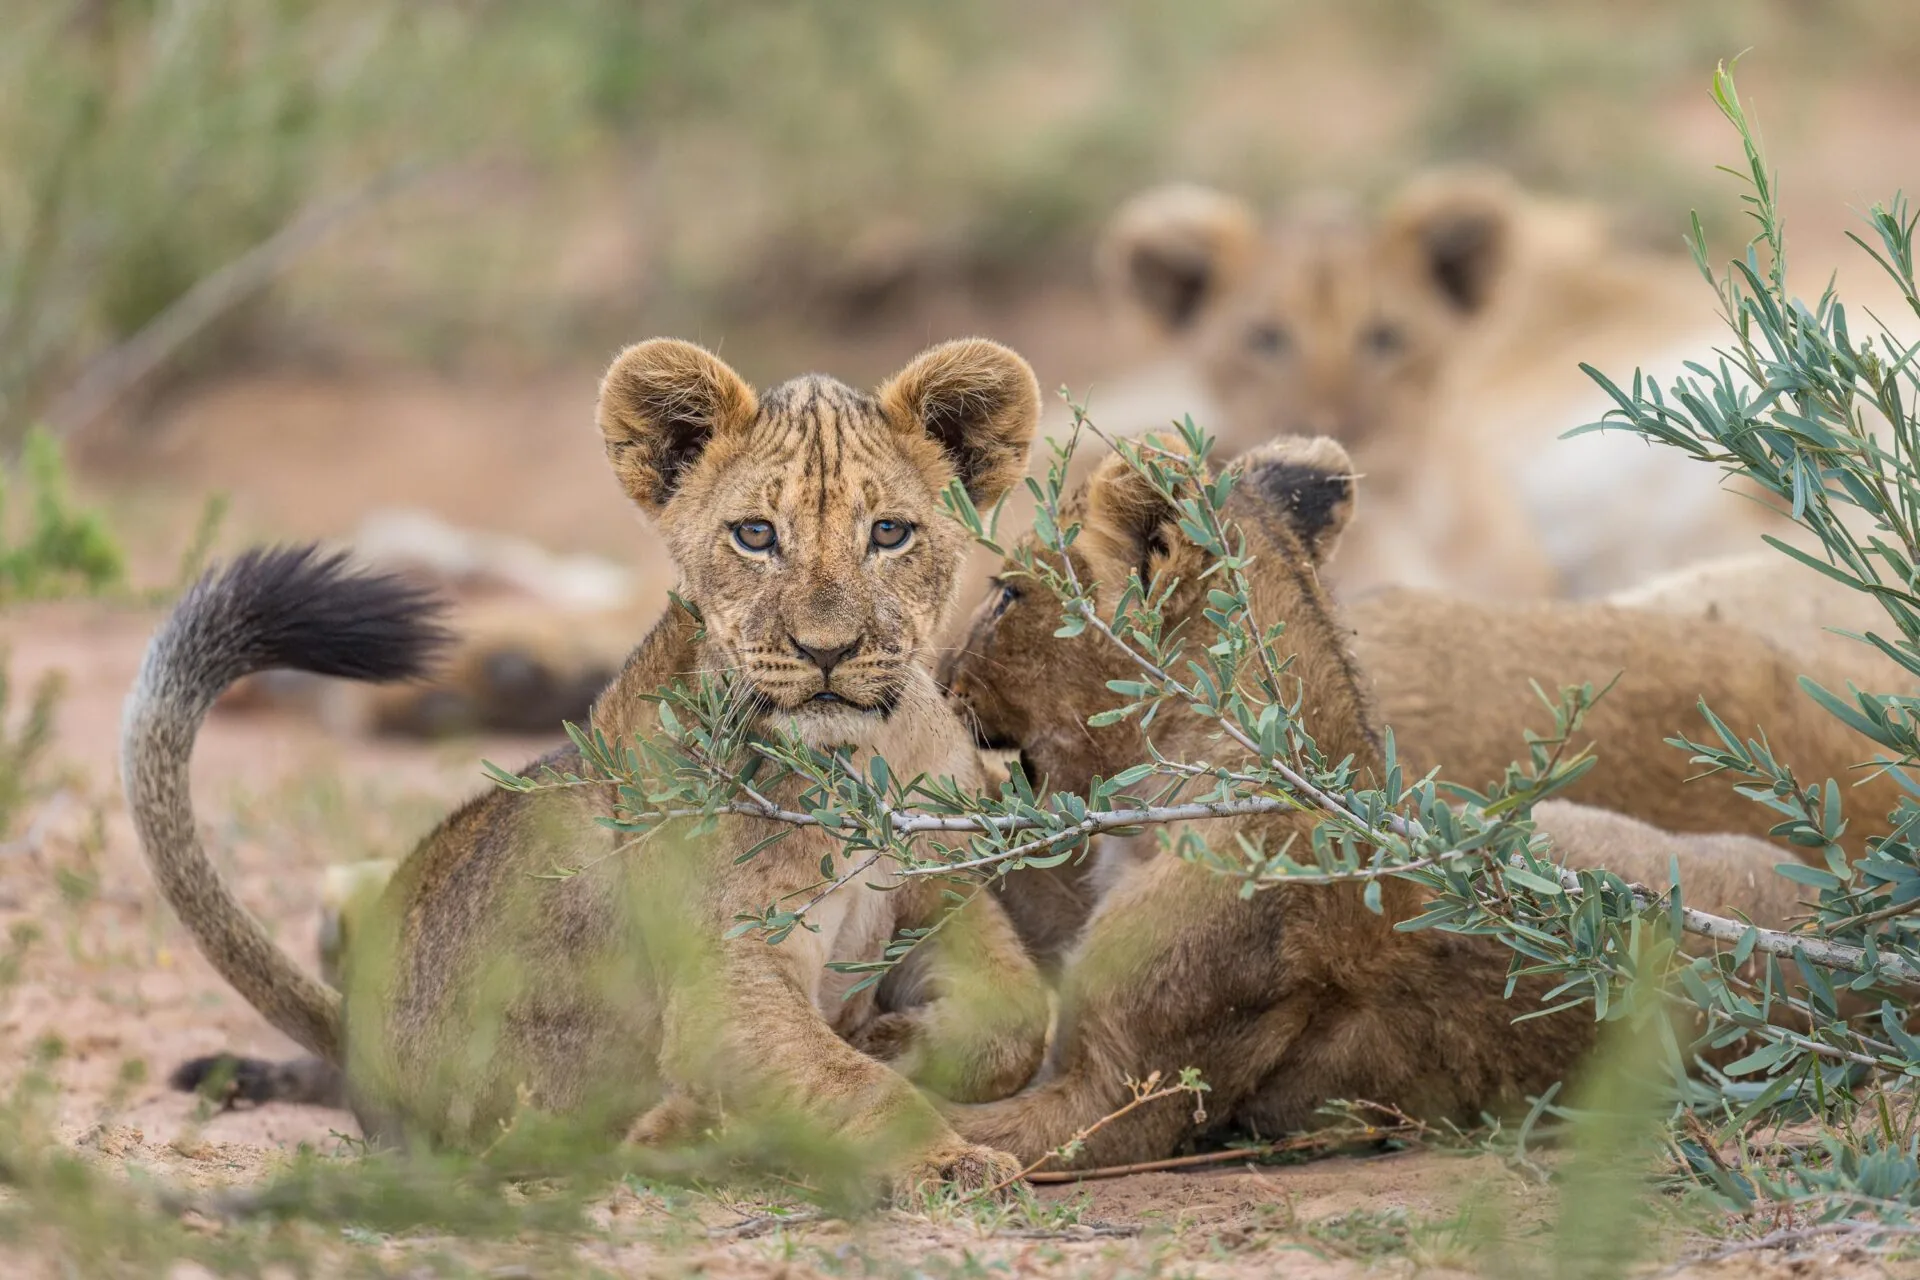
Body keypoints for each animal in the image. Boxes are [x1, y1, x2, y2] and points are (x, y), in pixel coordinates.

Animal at [127, 337, 1053, 1196]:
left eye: (888, 533)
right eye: (756, 536)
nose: (825, 651)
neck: (858, 759)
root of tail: (359, 1043)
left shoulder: (944, 889)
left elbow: (1017, 1016)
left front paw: (893, 1040)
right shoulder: (723, 986)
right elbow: (853, 1083)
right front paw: (945, 1157)